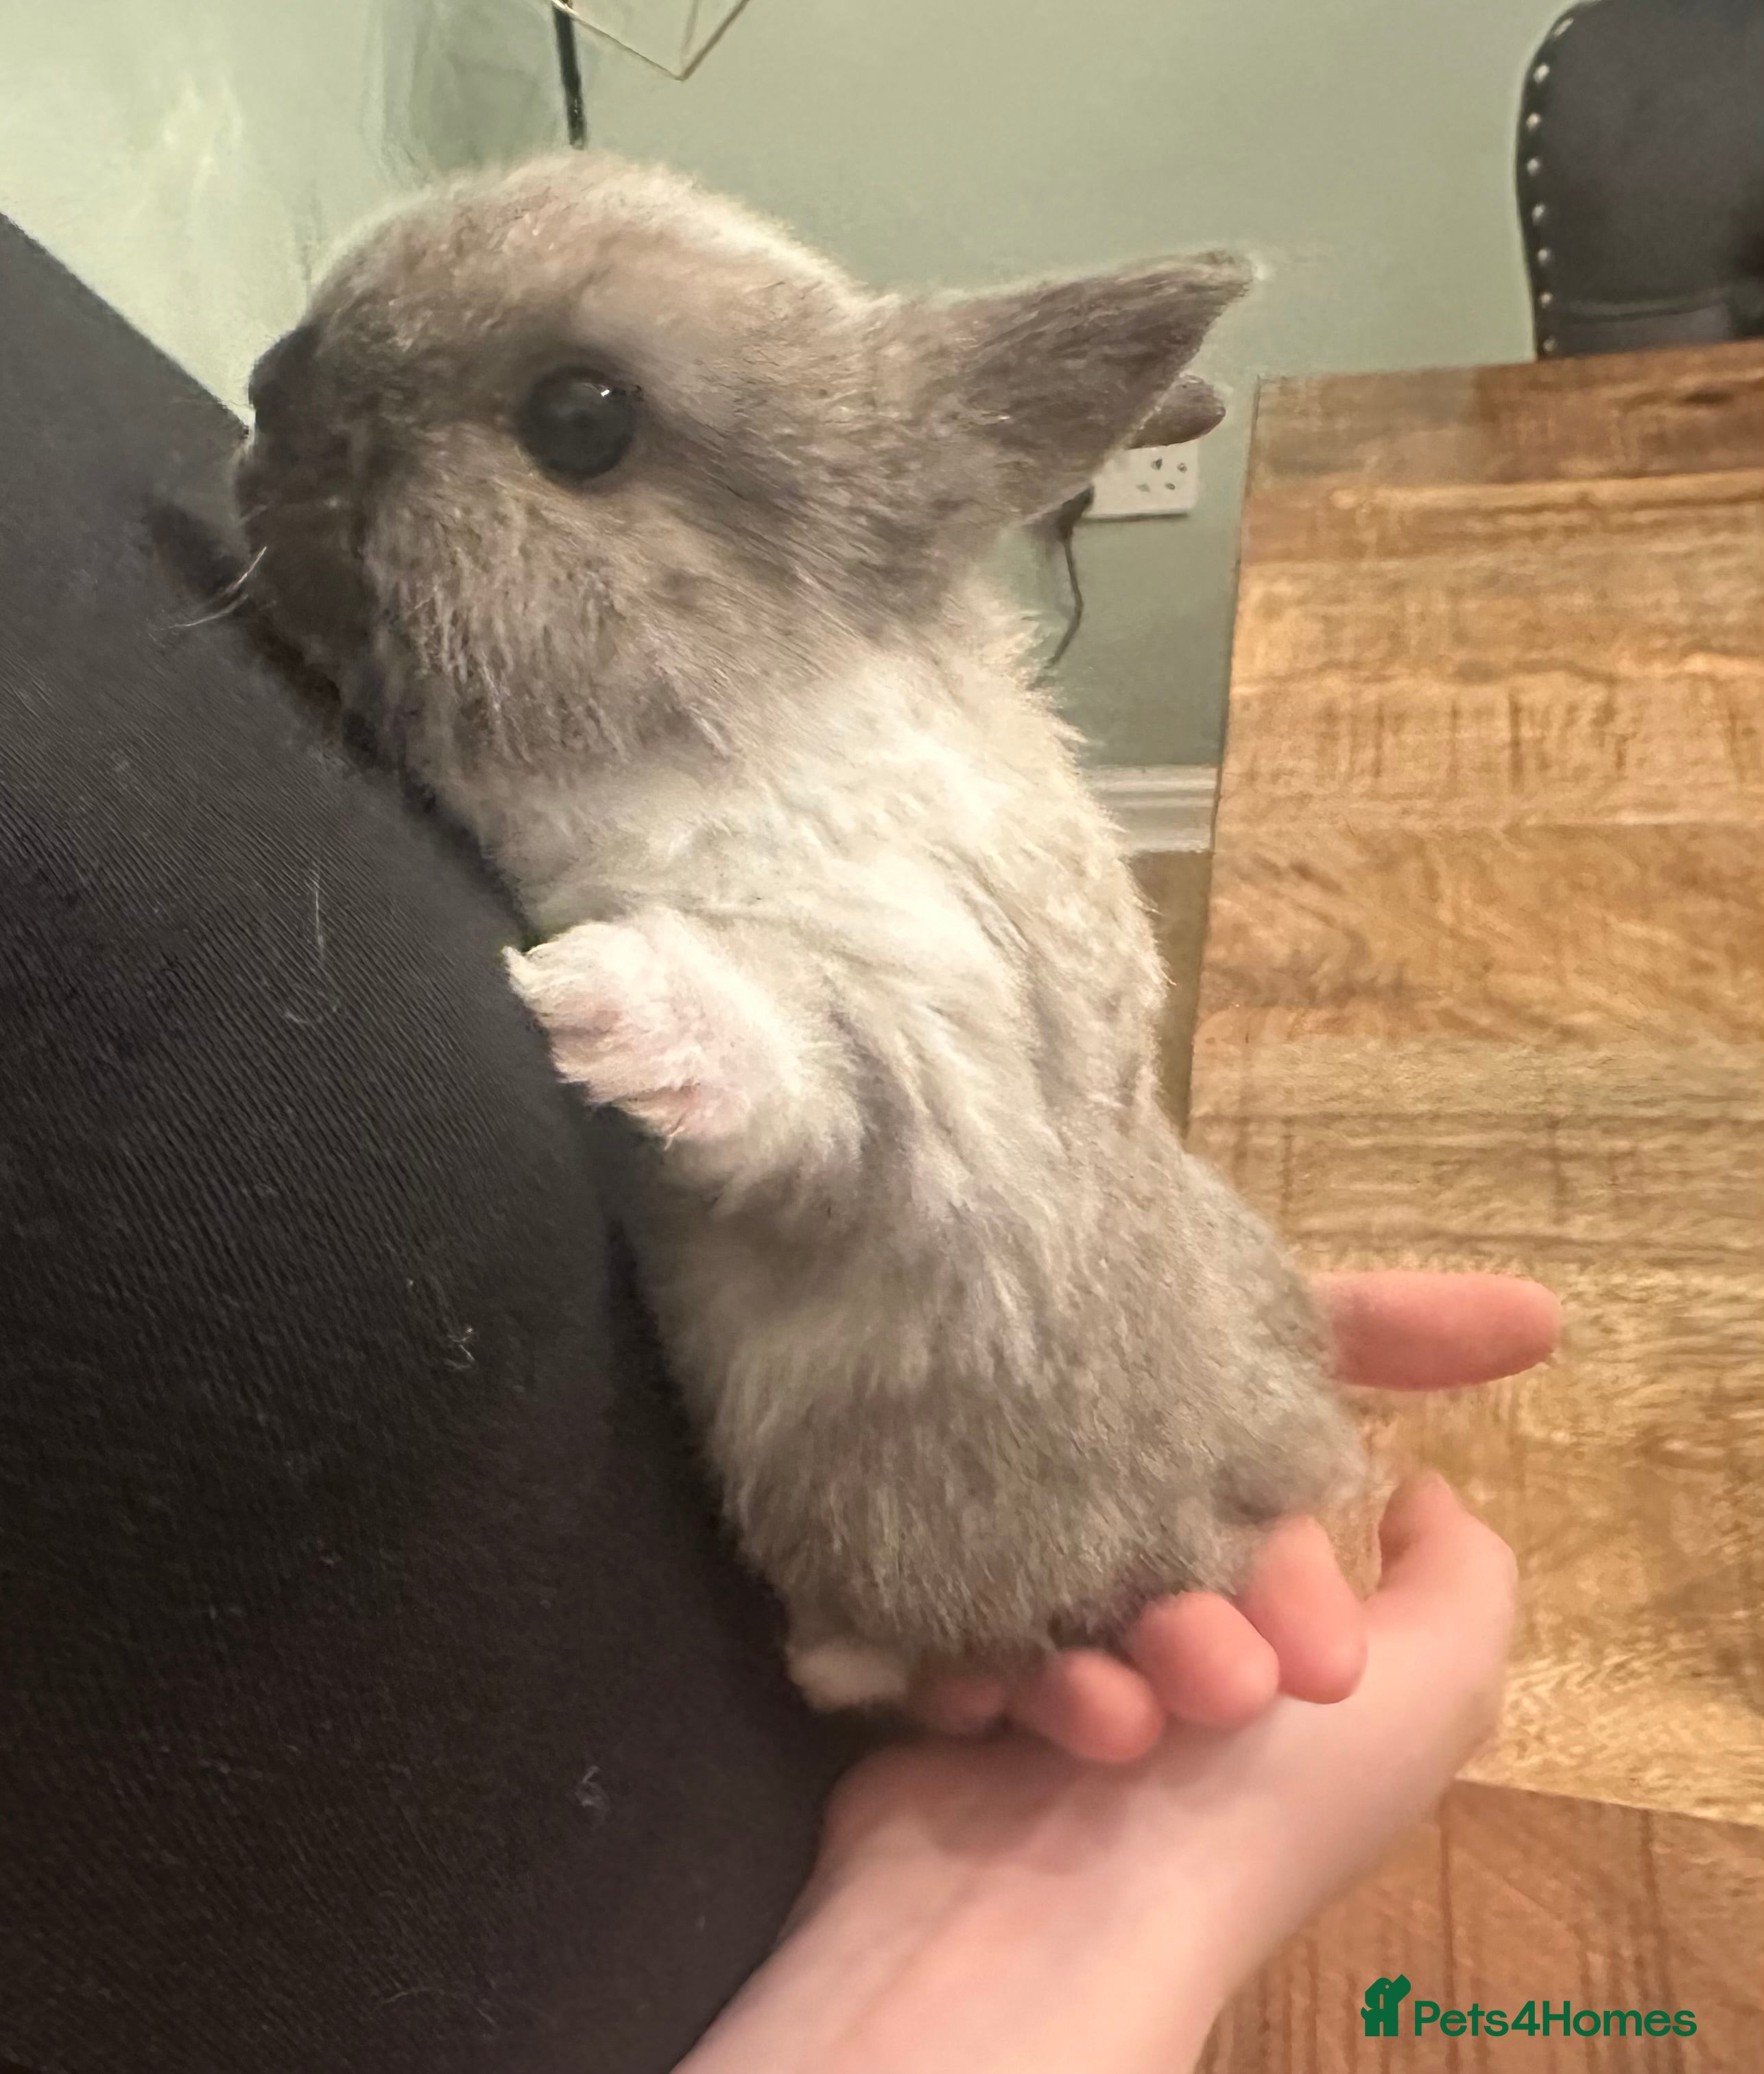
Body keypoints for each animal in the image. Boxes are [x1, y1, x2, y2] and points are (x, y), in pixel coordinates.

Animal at [236, 152, 1363, 1709]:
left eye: (581, 419)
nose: (267, 388)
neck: (716, 708)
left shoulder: (930, 1036)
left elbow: (800, 1058)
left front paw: (599, 996)